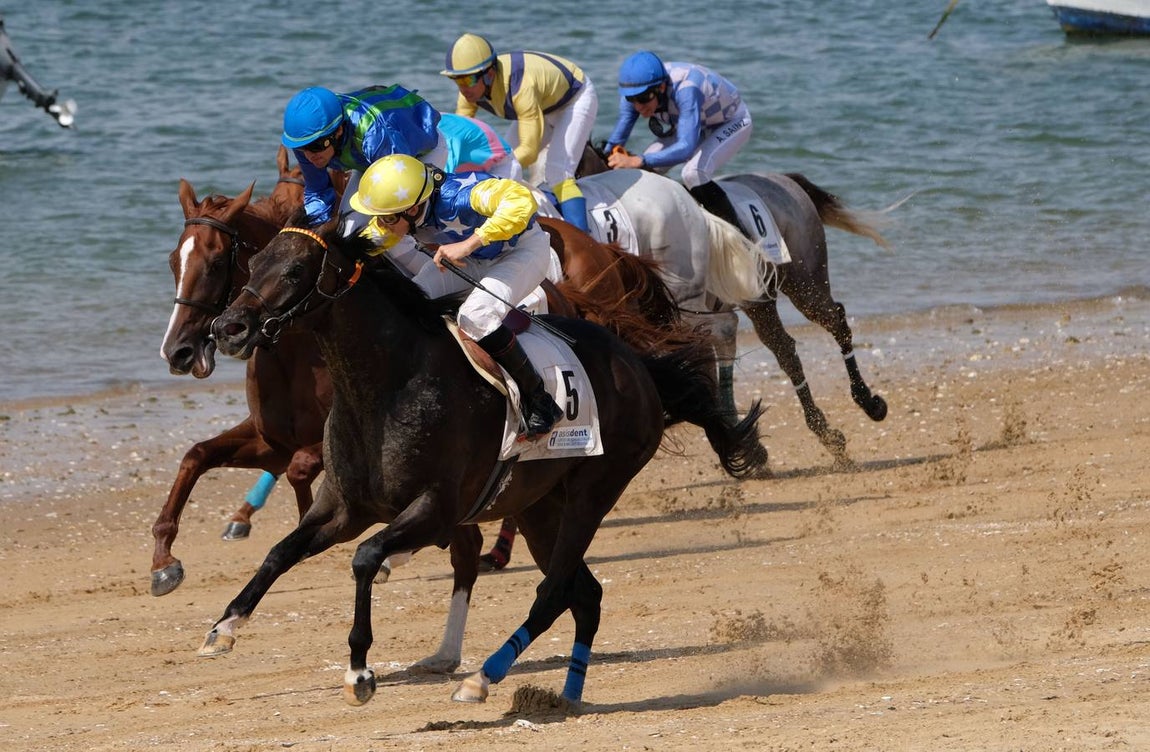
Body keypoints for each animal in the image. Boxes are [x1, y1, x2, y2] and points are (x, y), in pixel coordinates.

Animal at [205, 219, 765, 707]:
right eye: (254, 261)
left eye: (296, 270)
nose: (229, 328)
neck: (388, 385)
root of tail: (639, 366)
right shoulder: (344, 507)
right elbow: (280, 552)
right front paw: (223, 628)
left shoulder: (435, 510)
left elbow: (365, 558)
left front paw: (359, 671)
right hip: (540, 508)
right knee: (585, 594)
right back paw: (567, 694)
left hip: (593, 494)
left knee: (554, 591)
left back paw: (482, 678)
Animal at [565, 145, 892, 467]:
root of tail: (786, 181)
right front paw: (745, 443)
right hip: (767, 297)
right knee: (788, 345)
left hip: (800, 283)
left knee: (825, 325)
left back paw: (864, 406)